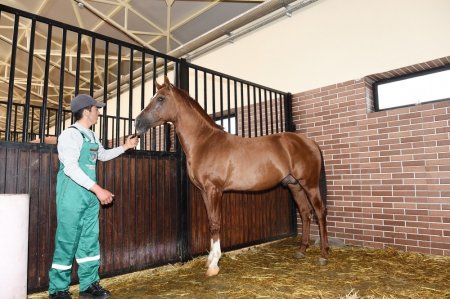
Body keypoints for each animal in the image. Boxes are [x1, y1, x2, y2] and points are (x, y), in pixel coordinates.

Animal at [135, 77, 328, 276]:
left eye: (160, 98)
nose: (138, 123)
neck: (204, 142)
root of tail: (310, 142)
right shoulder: (204, 192)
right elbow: (210, 222)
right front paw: (210, 259)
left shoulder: (214, 190)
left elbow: (216, 223)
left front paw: (214, 265)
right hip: (294, 185)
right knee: (305, 213)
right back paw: (301, 250)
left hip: (310, 185)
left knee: (320, 212)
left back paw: (323, 255)